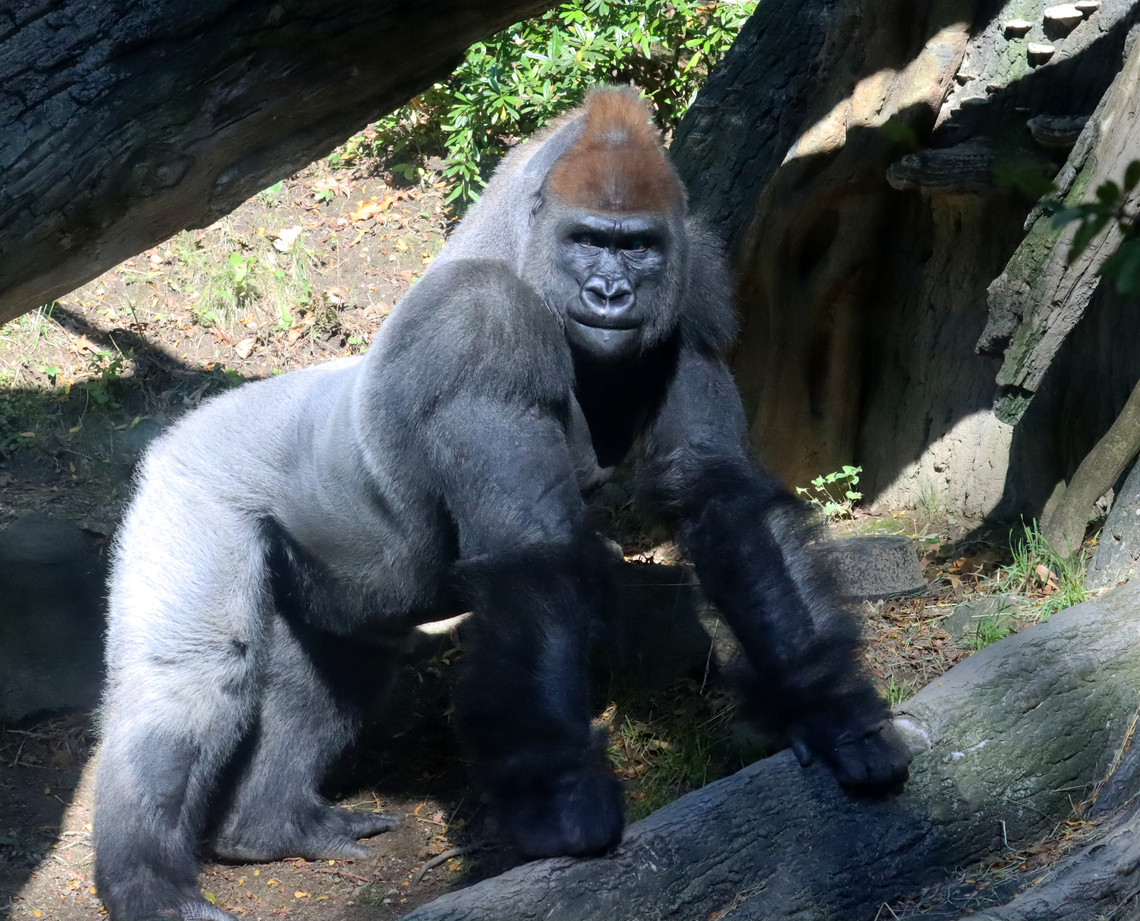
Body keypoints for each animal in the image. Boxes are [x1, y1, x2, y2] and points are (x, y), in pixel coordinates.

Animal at [93, 86, 911, 921]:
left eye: (639, 248)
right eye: (588, 240)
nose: (610, 293)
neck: (525, 245)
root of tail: (186, 424)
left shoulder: (697, 293)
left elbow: (718, 495)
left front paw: (832, 709)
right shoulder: (483, 328)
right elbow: (532, 558)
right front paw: (562, 801)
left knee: (331, 668)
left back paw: (269, 825)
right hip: (193, 479)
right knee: (192, 682)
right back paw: (149, 882)